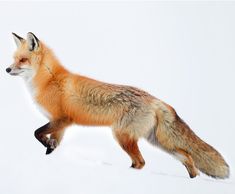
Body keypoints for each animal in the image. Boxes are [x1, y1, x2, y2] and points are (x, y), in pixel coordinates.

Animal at [6, 32, 229, 179]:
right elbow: (51, 145)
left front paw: (46, 147)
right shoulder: (60, 125)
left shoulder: (62, 120)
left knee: (141, 162)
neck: (49, 80)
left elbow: (37, 133)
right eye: (14, 59)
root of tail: (155, 99)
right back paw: (192, 180)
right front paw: (49, 156)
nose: (7, 69)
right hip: (155, 140)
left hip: (122, 136)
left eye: (23, 60)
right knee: (187, 157)